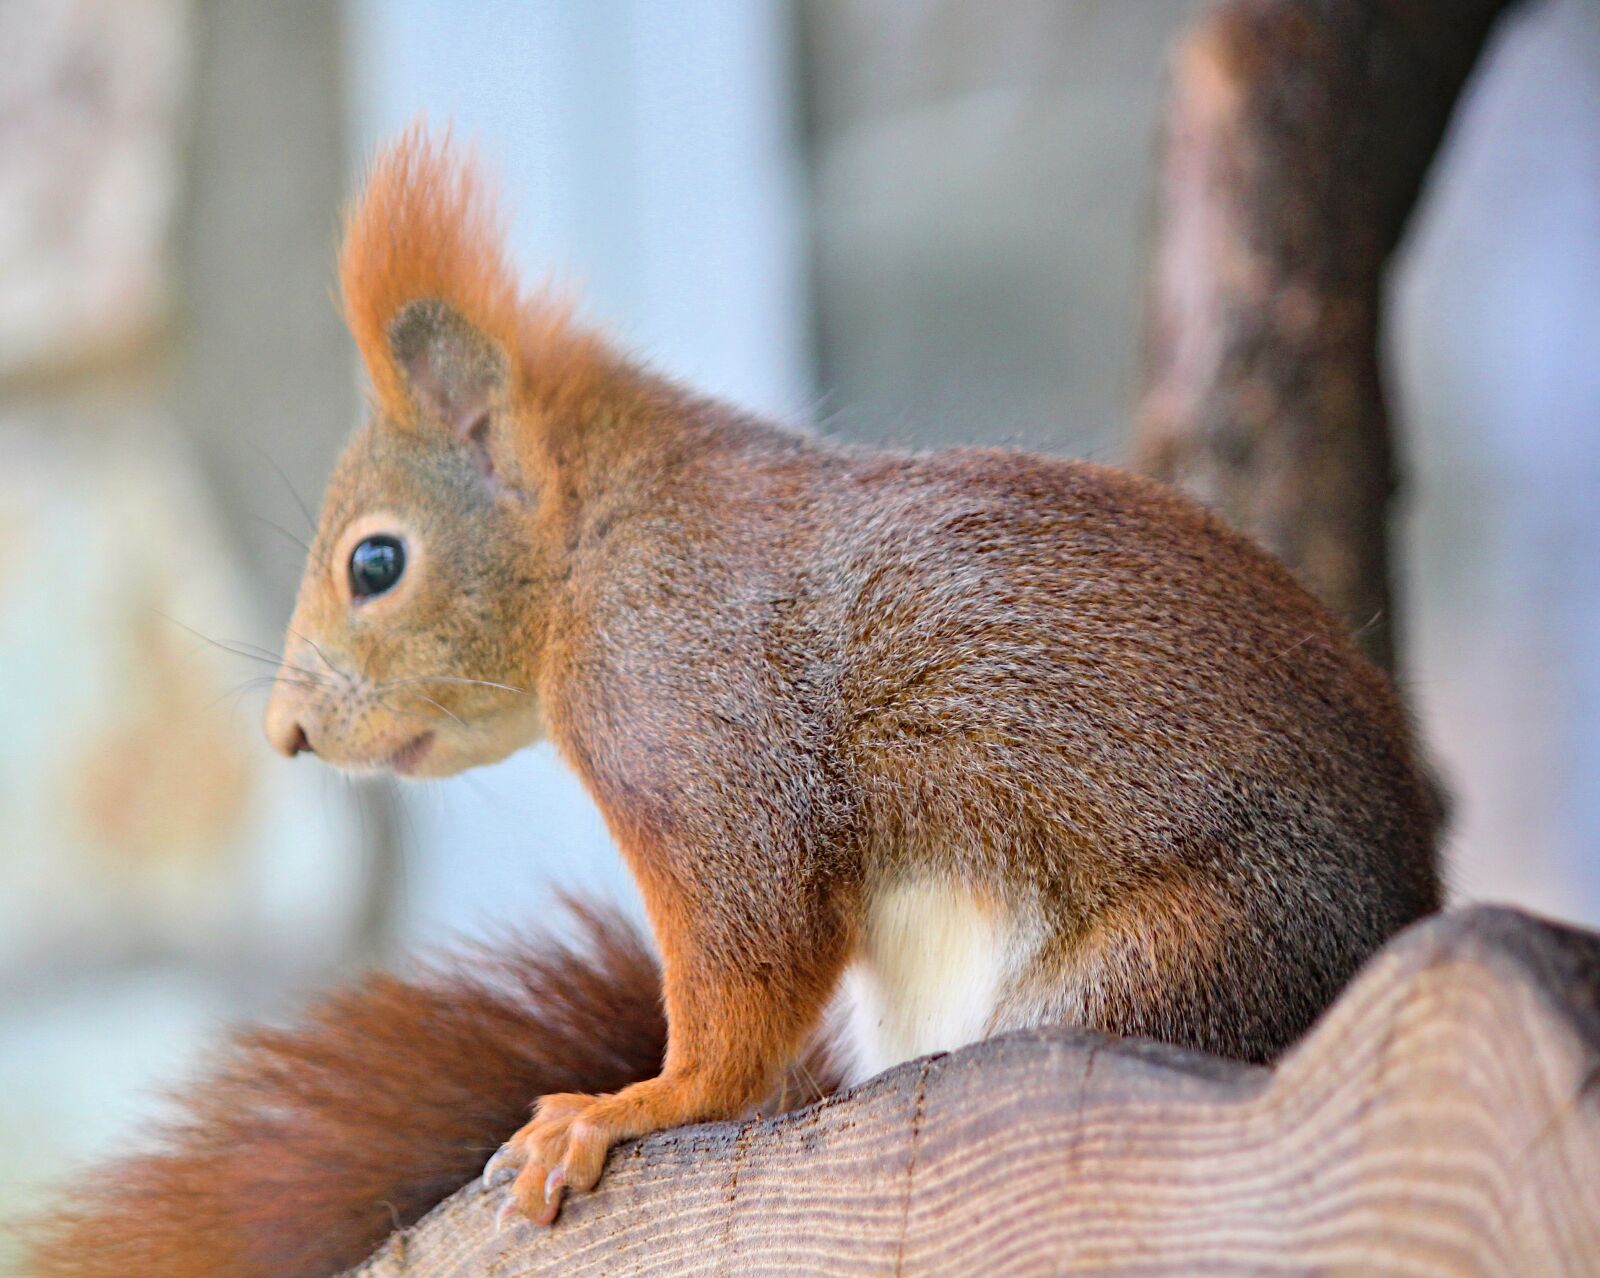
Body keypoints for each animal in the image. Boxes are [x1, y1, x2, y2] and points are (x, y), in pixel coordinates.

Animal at [26, 126, 1441, 1277]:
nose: (288, 734)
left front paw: (630, 1104)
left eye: (376, 563)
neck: (602, 536)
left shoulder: (690, 703)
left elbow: (748, 946)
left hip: (1179, 974)